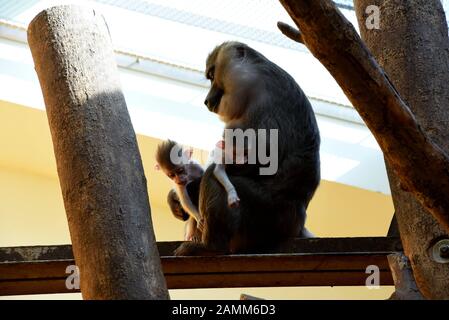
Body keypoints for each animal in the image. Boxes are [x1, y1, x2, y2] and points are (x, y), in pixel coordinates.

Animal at [173, 42, 316, 255]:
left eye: (212, 75)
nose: (207, 100)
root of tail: (297, 222)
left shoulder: (261, 103)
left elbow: (259, 159)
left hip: (265, 214)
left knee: (213, 176)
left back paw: (210, 247)